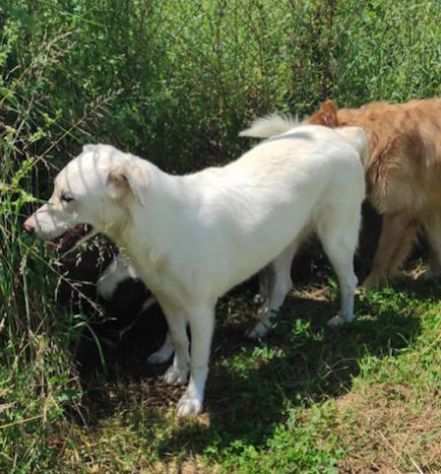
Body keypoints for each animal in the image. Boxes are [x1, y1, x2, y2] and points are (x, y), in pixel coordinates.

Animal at [25, 122, 366, 414]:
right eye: (54, 190)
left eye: (67, 198)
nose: (27, 227)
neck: (159, 223)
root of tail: (342, 136)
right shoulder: (167, 299)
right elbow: (178, 338)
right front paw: (177, 370)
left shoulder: (201, 309)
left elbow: (201, 358)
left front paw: (193, 399)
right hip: (281, 242)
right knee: (282, 285)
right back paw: (261, 327)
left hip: (336, 236)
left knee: (349, 279)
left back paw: (344, 319)